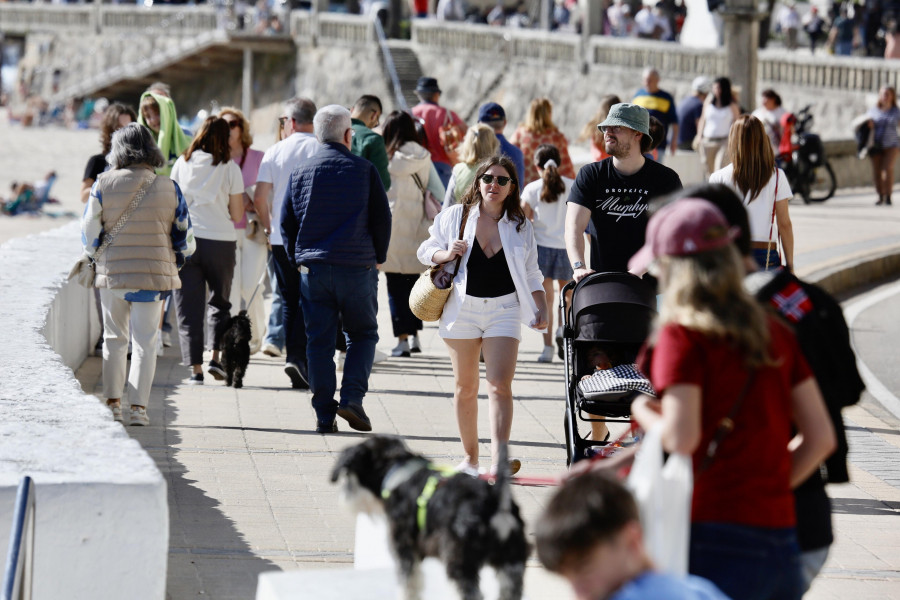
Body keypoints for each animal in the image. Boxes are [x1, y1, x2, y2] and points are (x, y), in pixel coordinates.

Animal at [330, 436, 528, 600]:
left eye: (349, 473)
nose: (345, 498)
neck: (397, 474)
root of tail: (497, 502)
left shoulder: (405, 549)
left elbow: (408, 585)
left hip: (460, 561)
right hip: (511, 563)